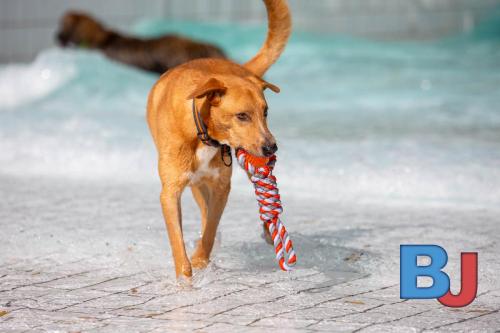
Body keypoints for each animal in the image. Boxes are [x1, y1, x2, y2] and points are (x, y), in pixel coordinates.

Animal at [146, 0, 292, 278]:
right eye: (242, 115)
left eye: (265, 112)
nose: (272, 147)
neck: (202, 133)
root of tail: (235, 68)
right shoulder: (170, 191)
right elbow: (179, 242)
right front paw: (187, 275)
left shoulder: (222, 186)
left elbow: (211, 229)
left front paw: (201, 258)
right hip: (195, 183)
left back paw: (269, 231)